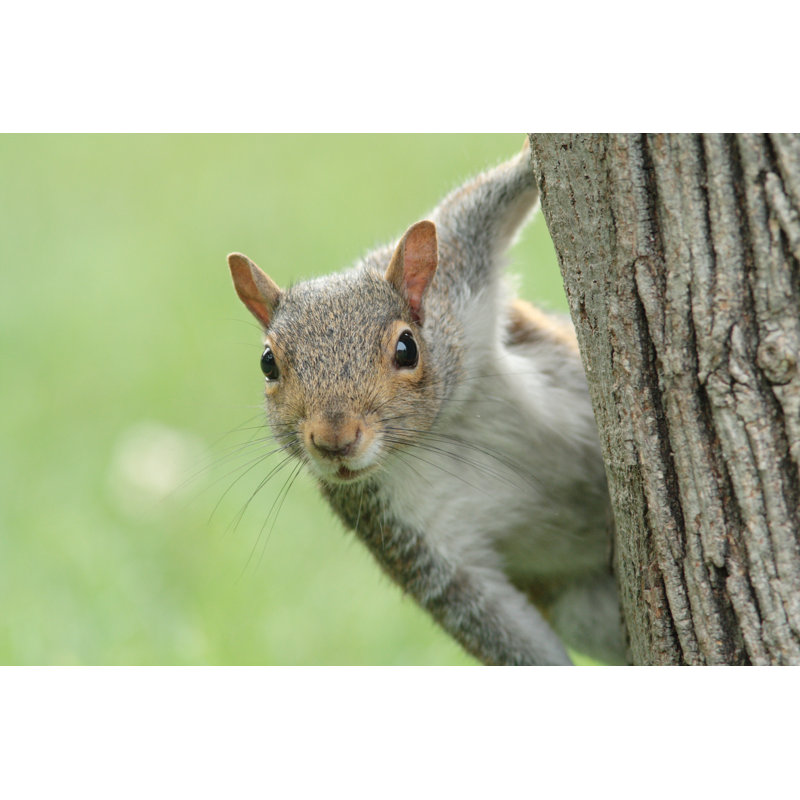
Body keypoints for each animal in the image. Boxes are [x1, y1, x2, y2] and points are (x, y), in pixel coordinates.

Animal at [227, 141, 626, 665]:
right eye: (268, 363)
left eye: (407, 348)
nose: (334, 440)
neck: (440, 431)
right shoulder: (415, 538)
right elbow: (491, 623)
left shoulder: (459, 276)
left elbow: (483, 199)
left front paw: (529, 153)